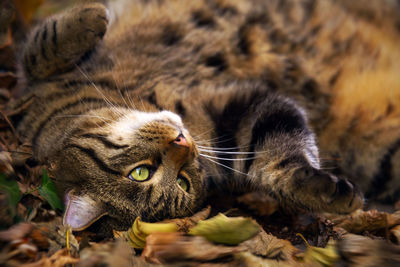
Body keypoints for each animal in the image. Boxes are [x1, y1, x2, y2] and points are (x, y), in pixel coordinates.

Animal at [12, 0, 400, 233]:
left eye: (139, 173)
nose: (183, 141)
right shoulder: (235, 115)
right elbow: (279, 154)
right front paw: (318, 192)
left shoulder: (29, 88)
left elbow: (38, 50)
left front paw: (90, 16)